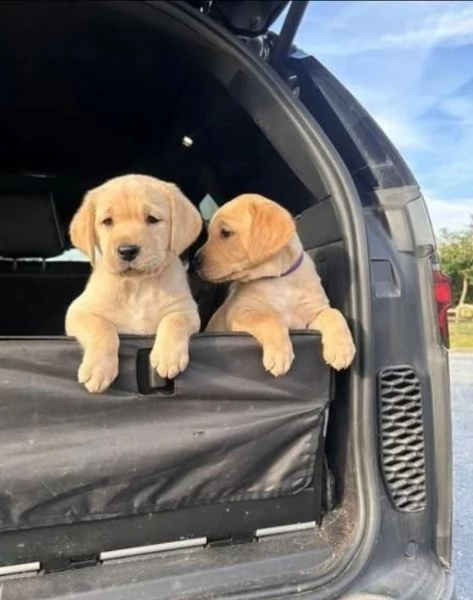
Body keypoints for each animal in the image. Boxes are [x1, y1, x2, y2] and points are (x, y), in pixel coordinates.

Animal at [65, 173, 201, 394]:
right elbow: (101, 327)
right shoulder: (78, 312)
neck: (137, 286)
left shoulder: (186, 309)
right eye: (107, 221)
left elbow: (175, 319)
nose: (127, 250)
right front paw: (98, 370)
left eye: (152, 219)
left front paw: (167, 357)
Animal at [195, 195, 354, 378]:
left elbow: (334, 313)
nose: (195, 260)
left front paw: (342, 349)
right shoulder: (240, 313)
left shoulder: (312, 314)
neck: (279, 278)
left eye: (226, 233)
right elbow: (269, 319)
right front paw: (279, 354)